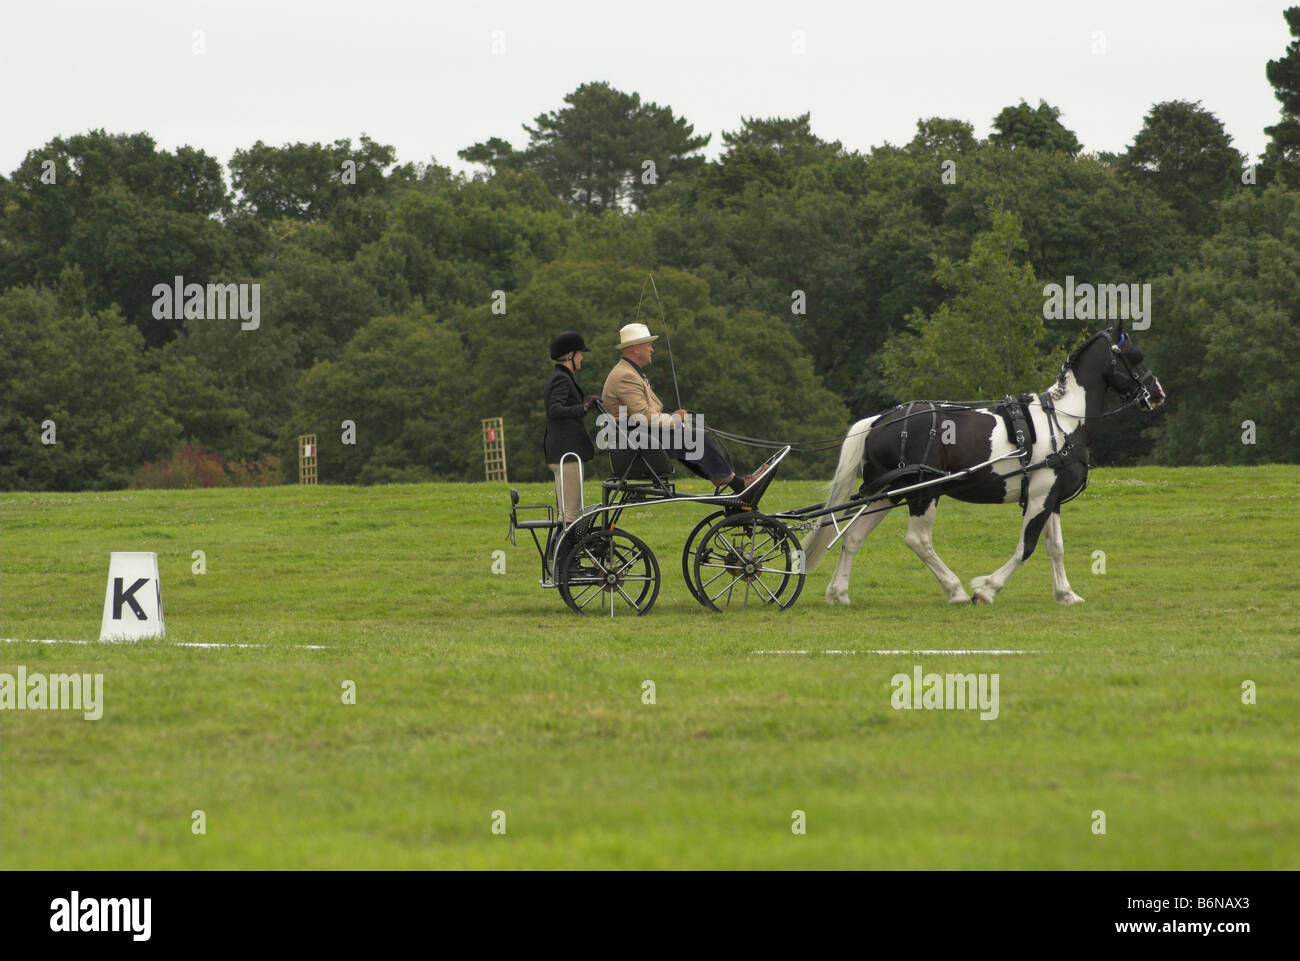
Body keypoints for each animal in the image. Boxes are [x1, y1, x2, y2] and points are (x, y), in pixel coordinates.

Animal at [800, 323, 1170, 608]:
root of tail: (879, 420)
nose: (1157, 392)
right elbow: (1026, 547)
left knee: (852, 537)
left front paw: (1066, 594)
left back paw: (839, 594)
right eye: (1133, 355)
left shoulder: (1051, 499)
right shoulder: (1038, 499)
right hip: (923, 494)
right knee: (917, 540)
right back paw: (956, 591)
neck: (1063, 422)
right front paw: (986, 590)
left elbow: (1055, 547)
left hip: (887, 493)